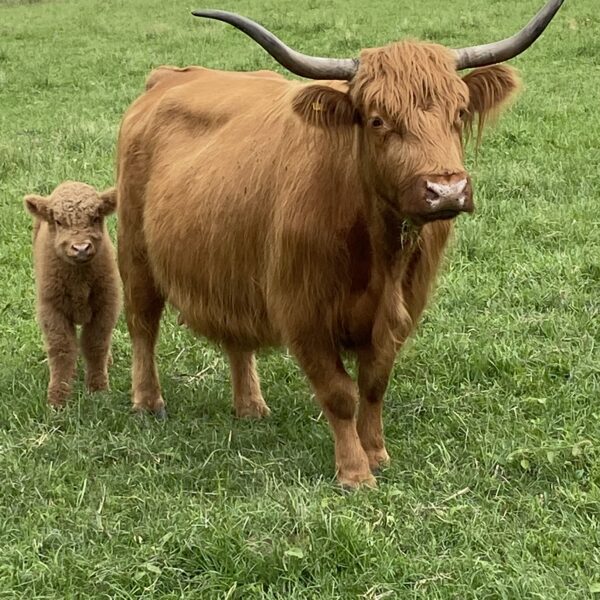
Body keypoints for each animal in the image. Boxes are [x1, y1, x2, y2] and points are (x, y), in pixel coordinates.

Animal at [24, 182, 120, 408]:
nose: (81, 248)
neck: (79, 282)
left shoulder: (107, 304)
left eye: (95, 217)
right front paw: (58, 399)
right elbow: (61, 349)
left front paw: (98, 391)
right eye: (58, 221)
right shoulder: (51, 310)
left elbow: (96, 344)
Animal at [115, 1, 564, 488]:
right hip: (134, 251)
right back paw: (148, 403)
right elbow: (339, 393)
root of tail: (169, 77)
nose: (446, 190)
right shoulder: (302, 311)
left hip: (230, 263)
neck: (378, 254)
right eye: (378, 119)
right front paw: (354, 471)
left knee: (237, 338)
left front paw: (377, 453)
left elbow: (373, 384)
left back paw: (250, 406)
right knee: (142, 324)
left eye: (460, 112)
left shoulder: (401, 310)